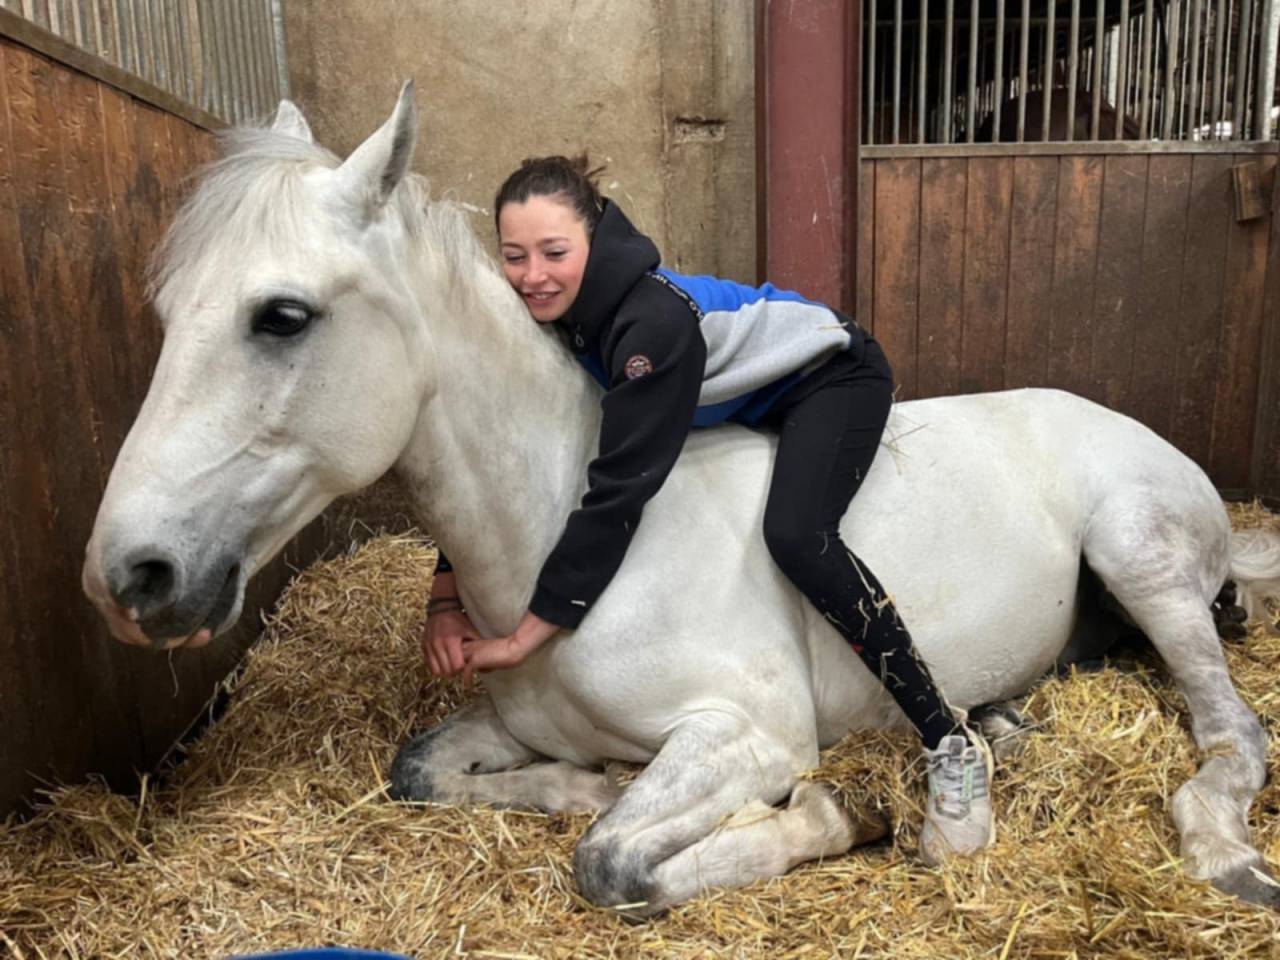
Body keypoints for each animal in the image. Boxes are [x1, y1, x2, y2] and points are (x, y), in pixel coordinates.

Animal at [82, 85, 1280, 915]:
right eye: (169, 310)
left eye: (281, 316)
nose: (127, 577)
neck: (573, 549)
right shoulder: (501, 724)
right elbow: (421, 768)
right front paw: (575, 782)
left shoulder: (745, 734)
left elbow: (612, 859)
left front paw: (835, 813)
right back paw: (999, 725)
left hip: (1139, 552)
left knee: (1233, 731)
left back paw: (1210, 851)